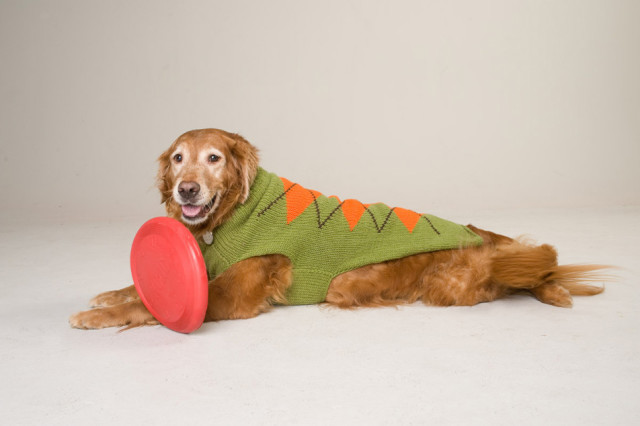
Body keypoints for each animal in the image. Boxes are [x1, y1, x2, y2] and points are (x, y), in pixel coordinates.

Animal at [67, 128, 608, 332]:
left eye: (214, 158)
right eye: (178, 159)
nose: (186, 190)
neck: (235, 214)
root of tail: (479, 234)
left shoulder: (228, 296)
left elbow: (147, 307)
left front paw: (95, 317)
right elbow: (137, 288)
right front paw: (107, 296)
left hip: (439, 284)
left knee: (516, 279)